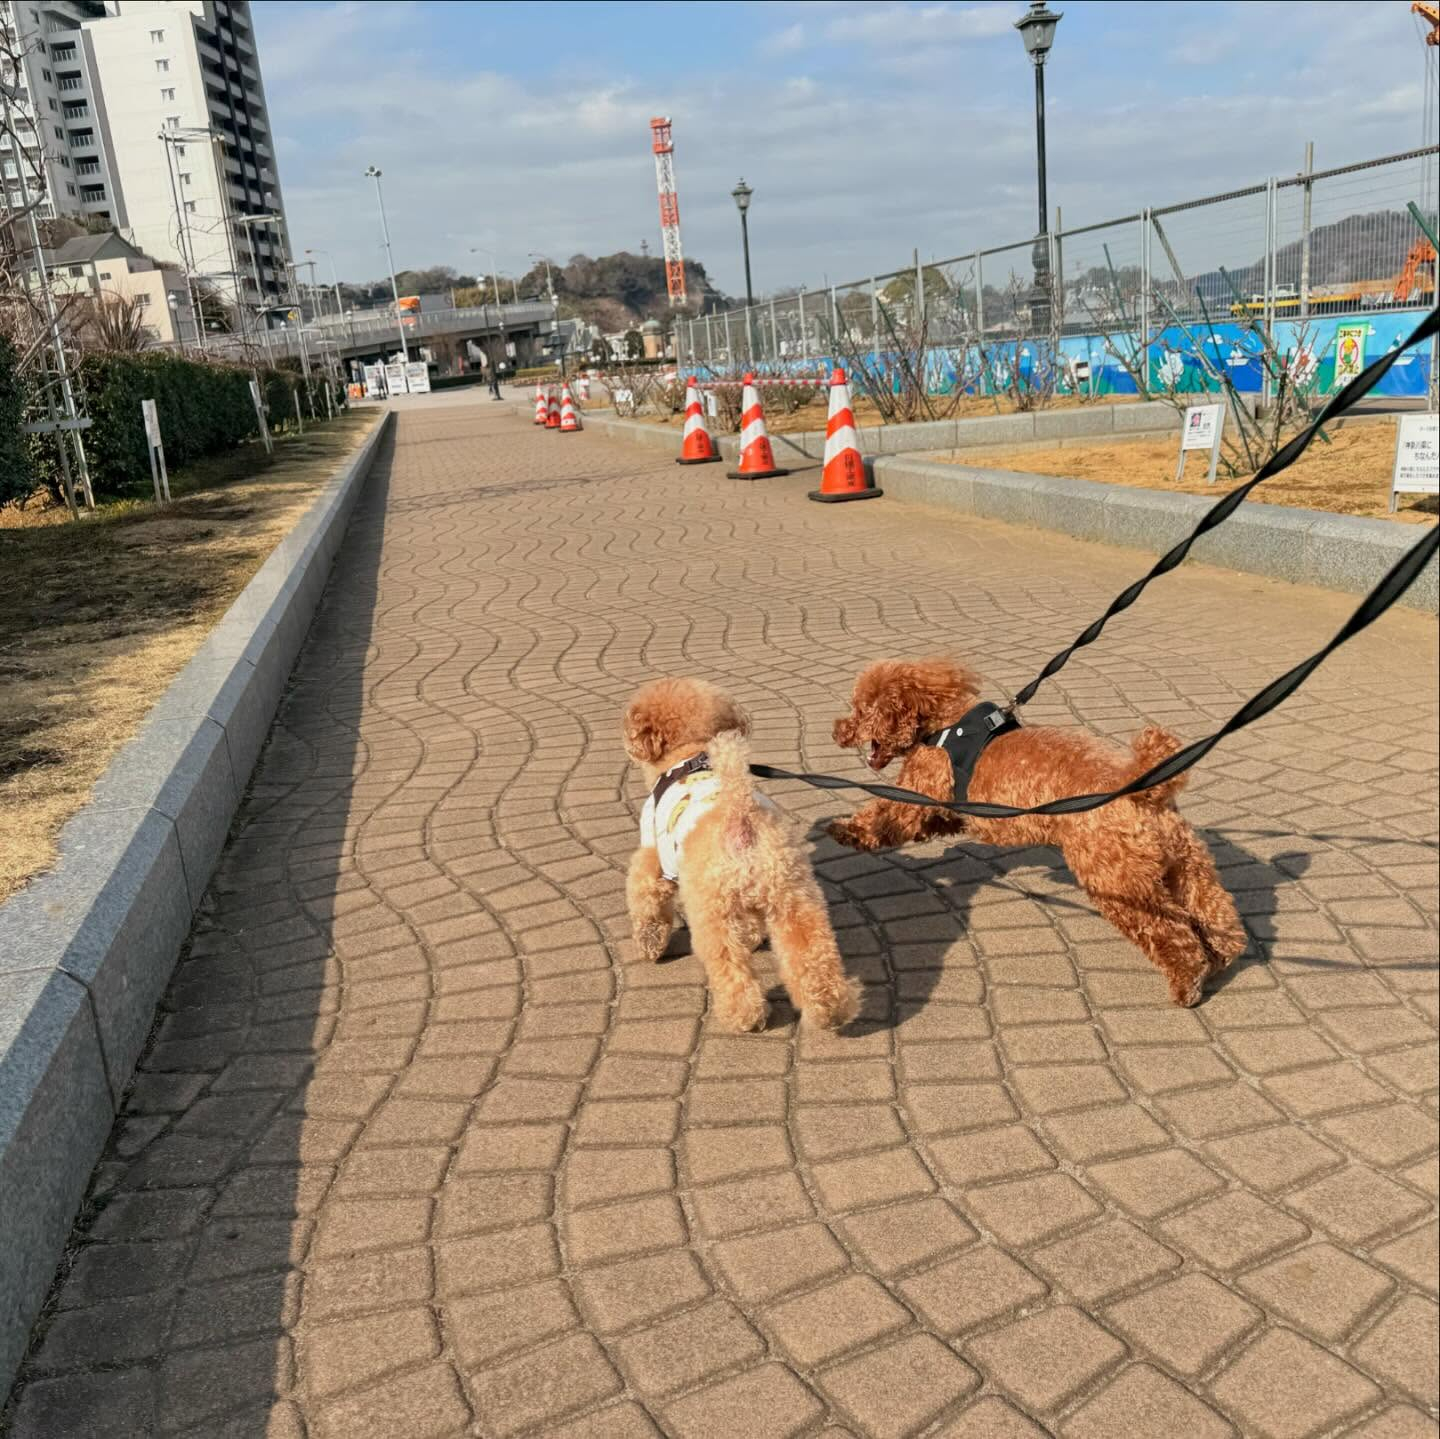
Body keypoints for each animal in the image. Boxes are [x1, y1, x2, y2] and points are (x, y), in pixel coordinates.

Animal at [624, 677, 858, 1037]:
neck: (689, 754)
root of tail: (740, 812)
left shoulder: (654, 858)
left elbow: (647, 901)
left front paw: (650, 945)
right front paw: (752, 936)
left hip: (711, 910)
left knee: (729, 966)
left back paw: (744, 1016)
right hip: (794, 898)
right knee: (812, 958)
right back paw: (830, 1010)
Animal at [829, 659, 1244, 1008]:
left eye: (861, 710)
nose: (836, 731)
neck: (942, 725)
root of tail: (1139, 785)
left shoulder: (918, 792)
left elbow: (887, 815)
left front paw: (846, 830)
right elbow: (935, 822)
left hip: (1118, 881)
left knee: (1173, 934)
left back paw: (1186, 984)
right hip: (1185, 865)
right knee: (1216, 914)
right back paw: (1220, 957)